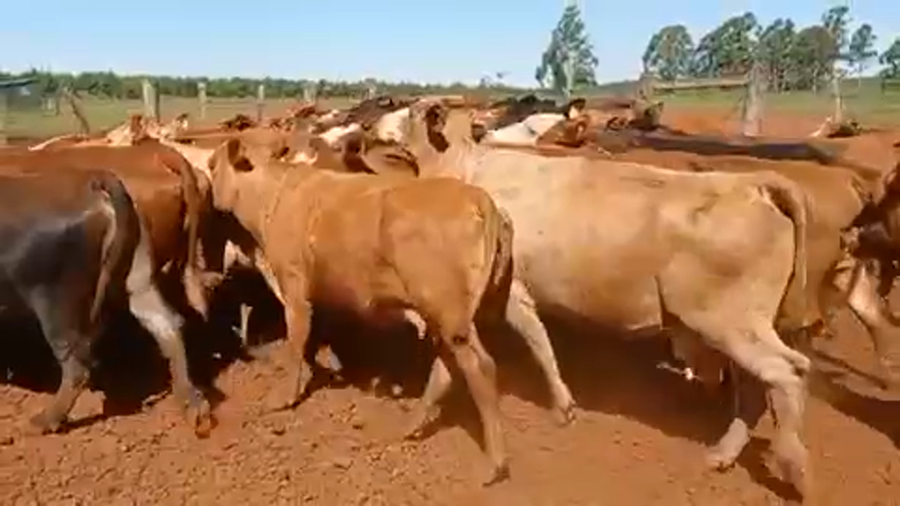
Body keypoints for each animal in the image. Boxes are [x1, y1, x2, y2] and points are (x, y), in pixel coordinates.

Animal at [0, 170, 210, 436]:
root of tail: (93, 181)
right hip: (138, 281)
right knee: (168, 327)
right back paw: (194, 409)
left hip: (54, 301)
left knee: (77, 366)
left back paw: (44, 422)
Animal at [203, 136, 542, 484]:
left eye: (212, 165)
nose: (211, 196)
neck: (274, 193)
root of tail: (478, 197)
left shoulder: (294, 288)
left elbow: (296, 341)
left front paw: (282, 398)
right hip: (451, 317)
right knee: (447, 369)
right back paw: (409, 426)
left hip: (450, 315)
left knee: (479, 368)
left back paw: (493, 466)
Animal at [394, 99, 814, 497]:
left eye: (411, 113)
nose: (377, 123)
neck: (468, 175)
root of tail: (752, 183)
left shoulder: (509, 292)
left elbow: (533, 340)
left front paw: (562, 404)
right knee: (758, 386)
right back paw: (725, 454)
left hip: (728, 322)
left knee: (789, 372)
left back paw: (795, 468)